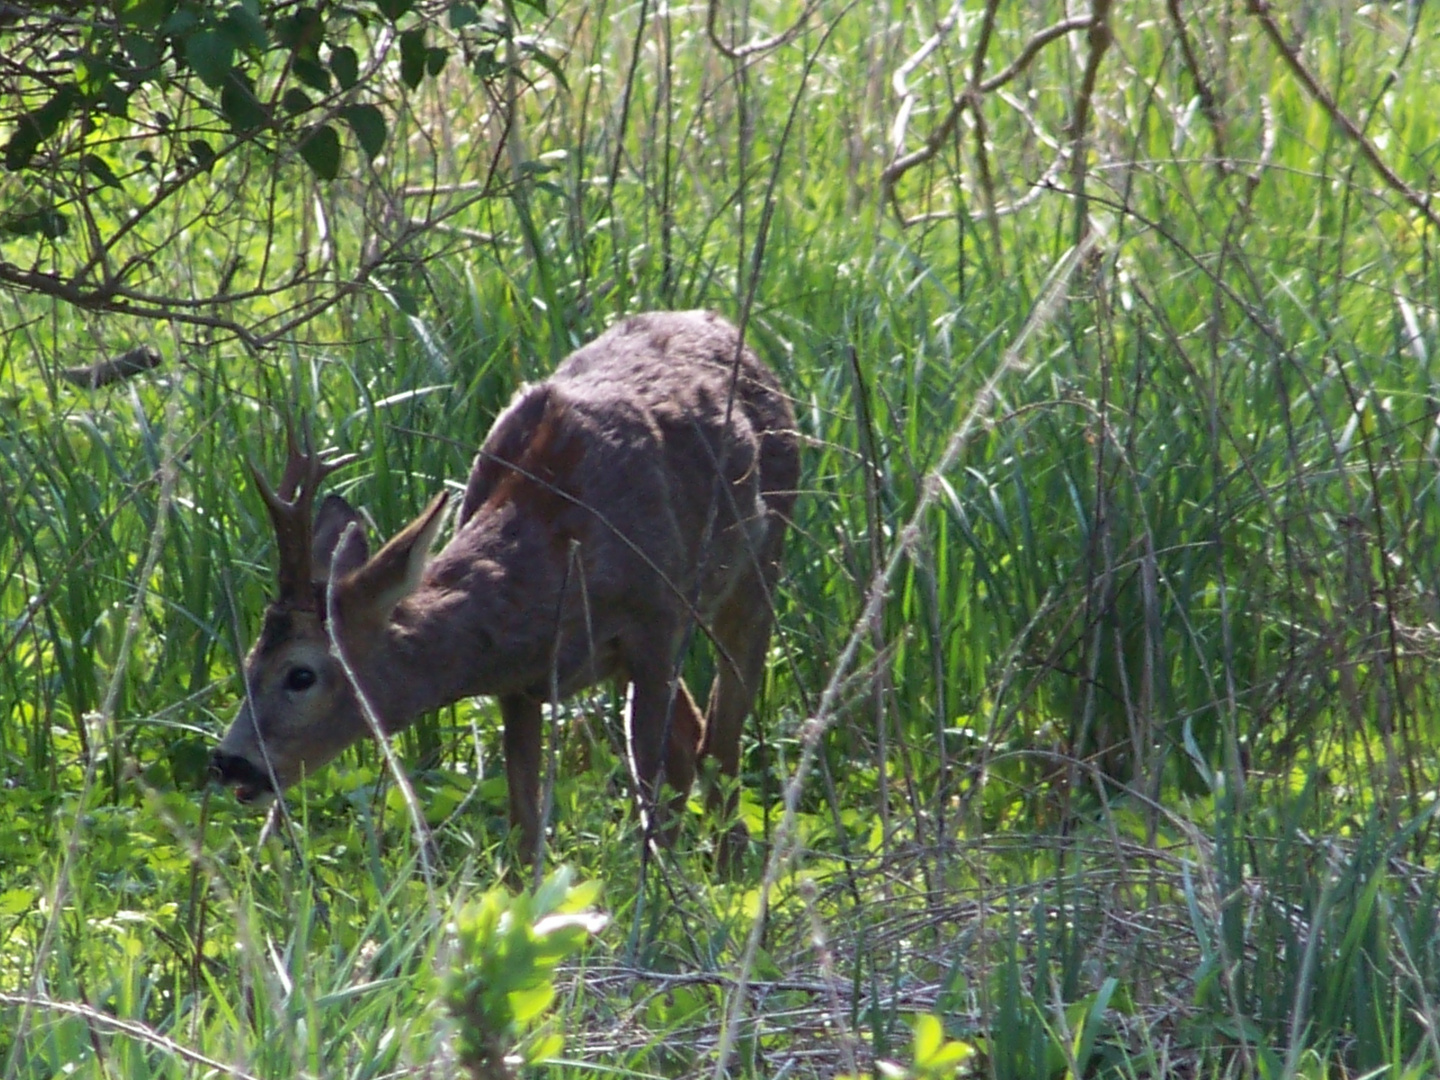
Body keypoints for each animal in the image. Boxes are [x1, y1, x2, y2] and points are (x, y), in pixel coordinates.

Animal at [210, 308, 800, 869]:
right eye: (249, 660)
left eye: (300, 674)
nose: (228, 762)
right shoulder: (520, 684)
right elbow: (523, 827)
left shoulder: (656, 627)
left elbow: (654, 788)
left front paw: (654, 895)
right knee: (696, 735)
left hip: (759, 567)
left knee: (721, 737)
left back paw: (729, 868)